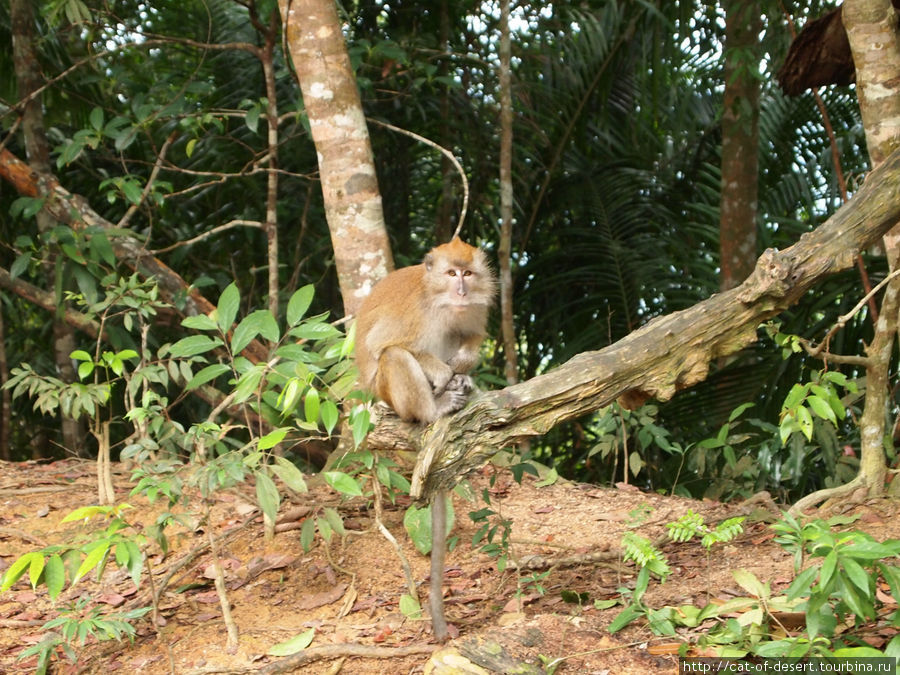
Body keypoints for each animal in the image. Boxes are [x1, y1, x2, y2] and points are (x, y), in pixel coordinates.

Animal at [354, 238, 496, 644]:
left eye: (468, 273)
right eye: (451, 274)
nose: (462, 290)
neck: (441, 301)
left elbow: (472, 337)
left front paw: (464, 363)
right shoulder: (415, 314)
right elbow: (385, 344)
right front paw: (444, 373)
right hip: (391, 396)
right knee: (395, 355)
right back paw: (436, 406)